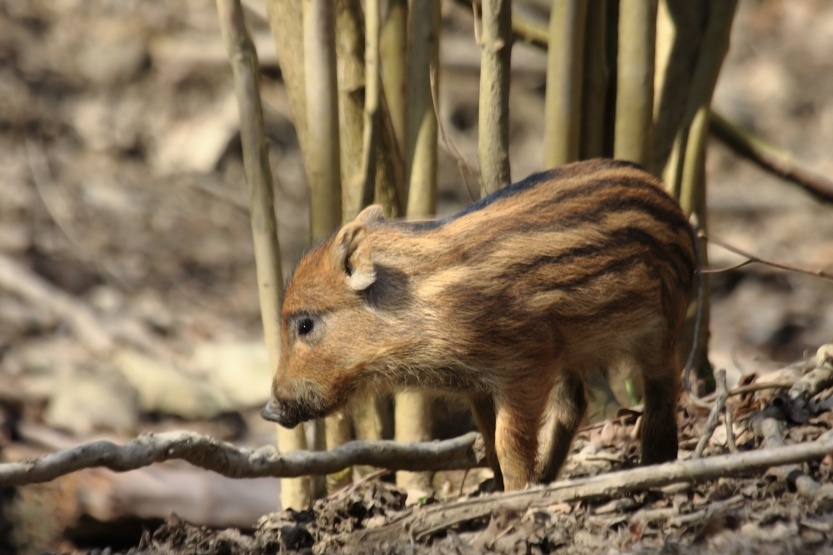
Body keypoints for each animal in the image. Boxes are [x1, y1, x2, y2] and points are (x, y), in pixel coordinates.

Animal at [262, 158, 696, 491]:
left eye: (304, 325)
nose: (268, 410)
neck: (423, 307)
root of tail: (671, 201)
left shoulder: (524, 365)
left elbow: (507, 441)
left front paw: (514, 492)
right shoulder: (480, 383)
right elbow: (487, 440)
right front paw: (497, 489)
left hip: (663, 324)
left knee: (663, 384)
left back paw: (656, 463)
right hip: (573, 350)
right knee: (574, 405)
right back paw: (547, 479)